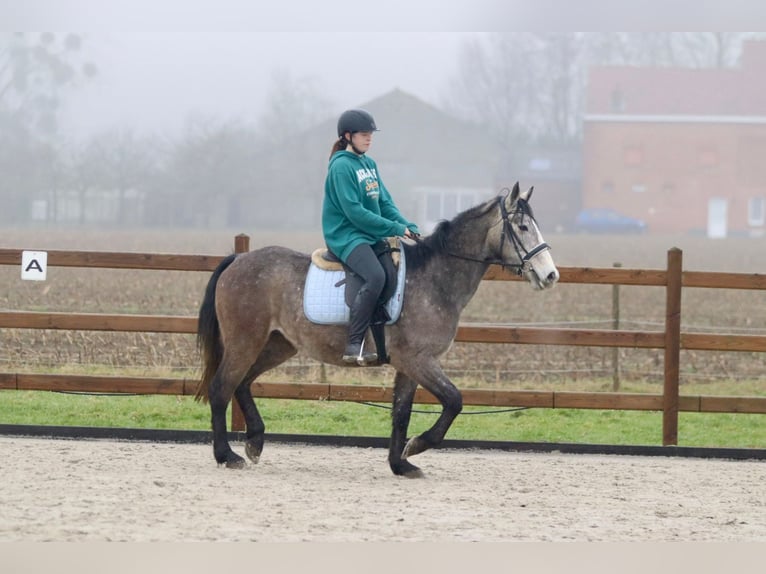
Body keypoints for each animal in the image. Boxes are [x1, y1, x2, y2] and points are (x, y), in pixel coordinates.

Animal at [195, 182, 560, 480]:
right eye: (523, 227)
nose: (551, 275)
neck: (435, 280)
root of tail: (238, 259)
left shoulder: (409, 365)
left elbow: (401, 413)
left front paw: (401, 464)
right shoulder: (418, 360)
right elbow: (454, 400)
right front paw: (418, 445)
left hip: (277, 344)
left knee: (243, 383)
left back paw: (254, 442)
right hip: (245, 341)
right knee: (222, 387)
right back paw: (226, 455)